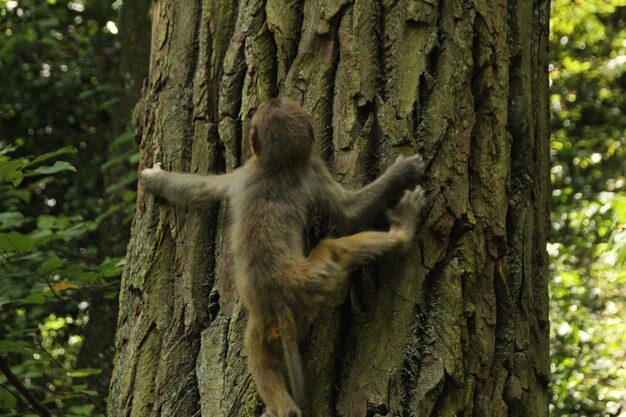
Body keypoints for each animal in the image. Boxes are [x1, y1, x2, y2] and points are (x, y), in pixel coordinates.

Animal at [140, 96, 424, 416]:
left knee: (260, 358)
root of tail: (280, 302)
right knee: (334, 250)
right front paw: (401, 175)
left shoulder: (244, 175)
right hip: (310, 282)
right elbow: (349, 215)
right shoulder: (306, 170)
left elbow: (199, 189)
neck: (277, 165)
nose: (272, 100)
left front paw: (154, 180)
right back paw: (402, 232)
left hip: (278, 309)